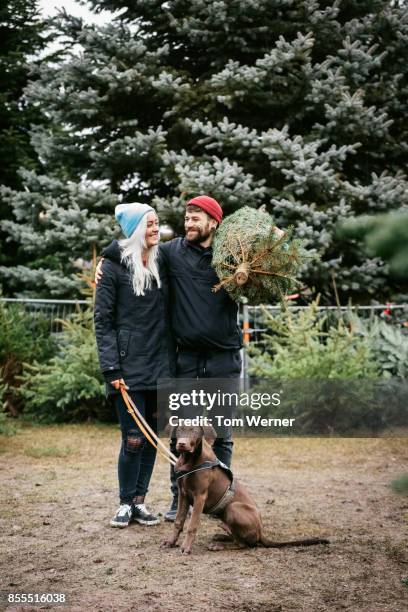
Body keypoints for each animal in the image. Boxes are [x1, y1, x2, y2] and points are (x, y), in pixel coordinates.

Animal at [161, 426, 330, 556]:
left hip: (233, 507)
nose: (182, 444)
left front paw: (186, 547)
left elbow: (192, 525)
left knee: (243, 543)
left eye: (195, 430)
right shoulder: (183, 494)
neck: (190, 460)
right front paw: (171, 542)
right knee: (238, 537)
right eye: (180, 429)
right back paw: (220, 536)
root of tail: (261, 532)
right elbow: (178, 521)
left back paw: (219, 545)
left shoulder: (200, 497)